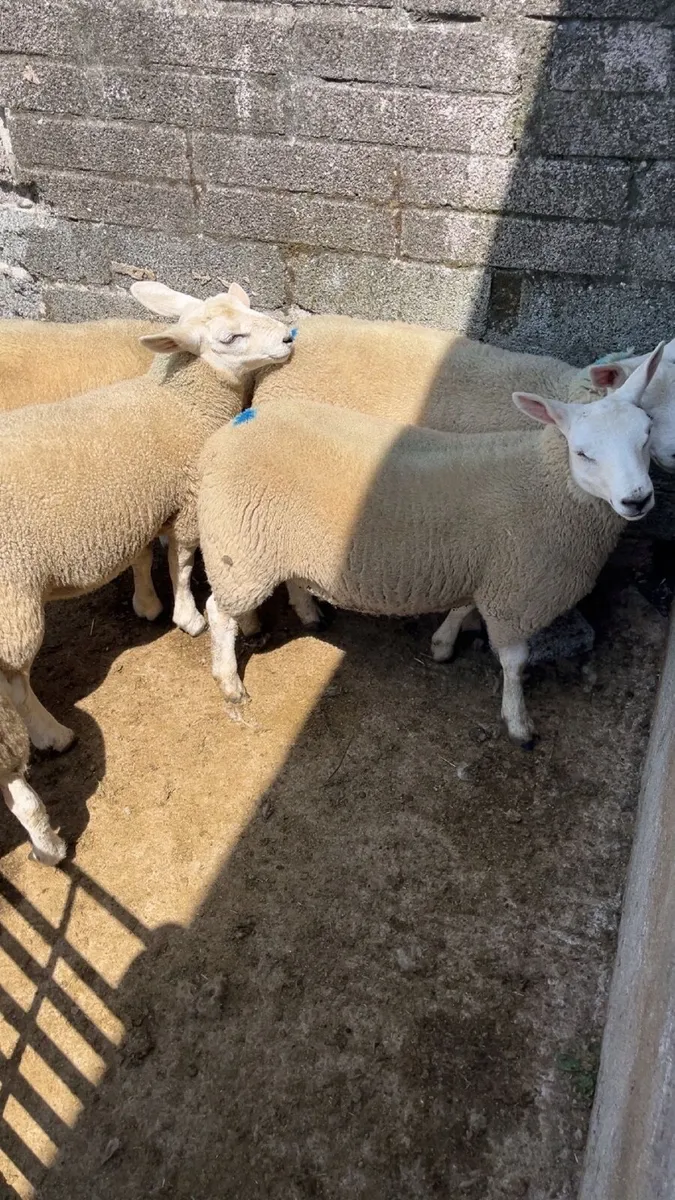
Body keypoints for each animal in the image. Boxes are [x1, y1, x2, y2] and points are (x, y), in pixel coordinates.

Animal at [197, 344, 663, 748]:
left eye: (646, 434)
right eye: (583, 453)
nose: (637, 499)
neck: (547, 481)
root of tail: (234, 427)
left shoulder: (484, 568)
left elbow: (462, 607)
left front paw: (442, 644)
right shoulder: (515, 595)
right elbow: (515, 663)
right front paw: (518, 723)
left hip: (279, 542)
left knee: (289, 579)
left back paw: (310, 614)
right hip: (240, 551)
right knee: (218, 612)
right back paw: (230, 682)